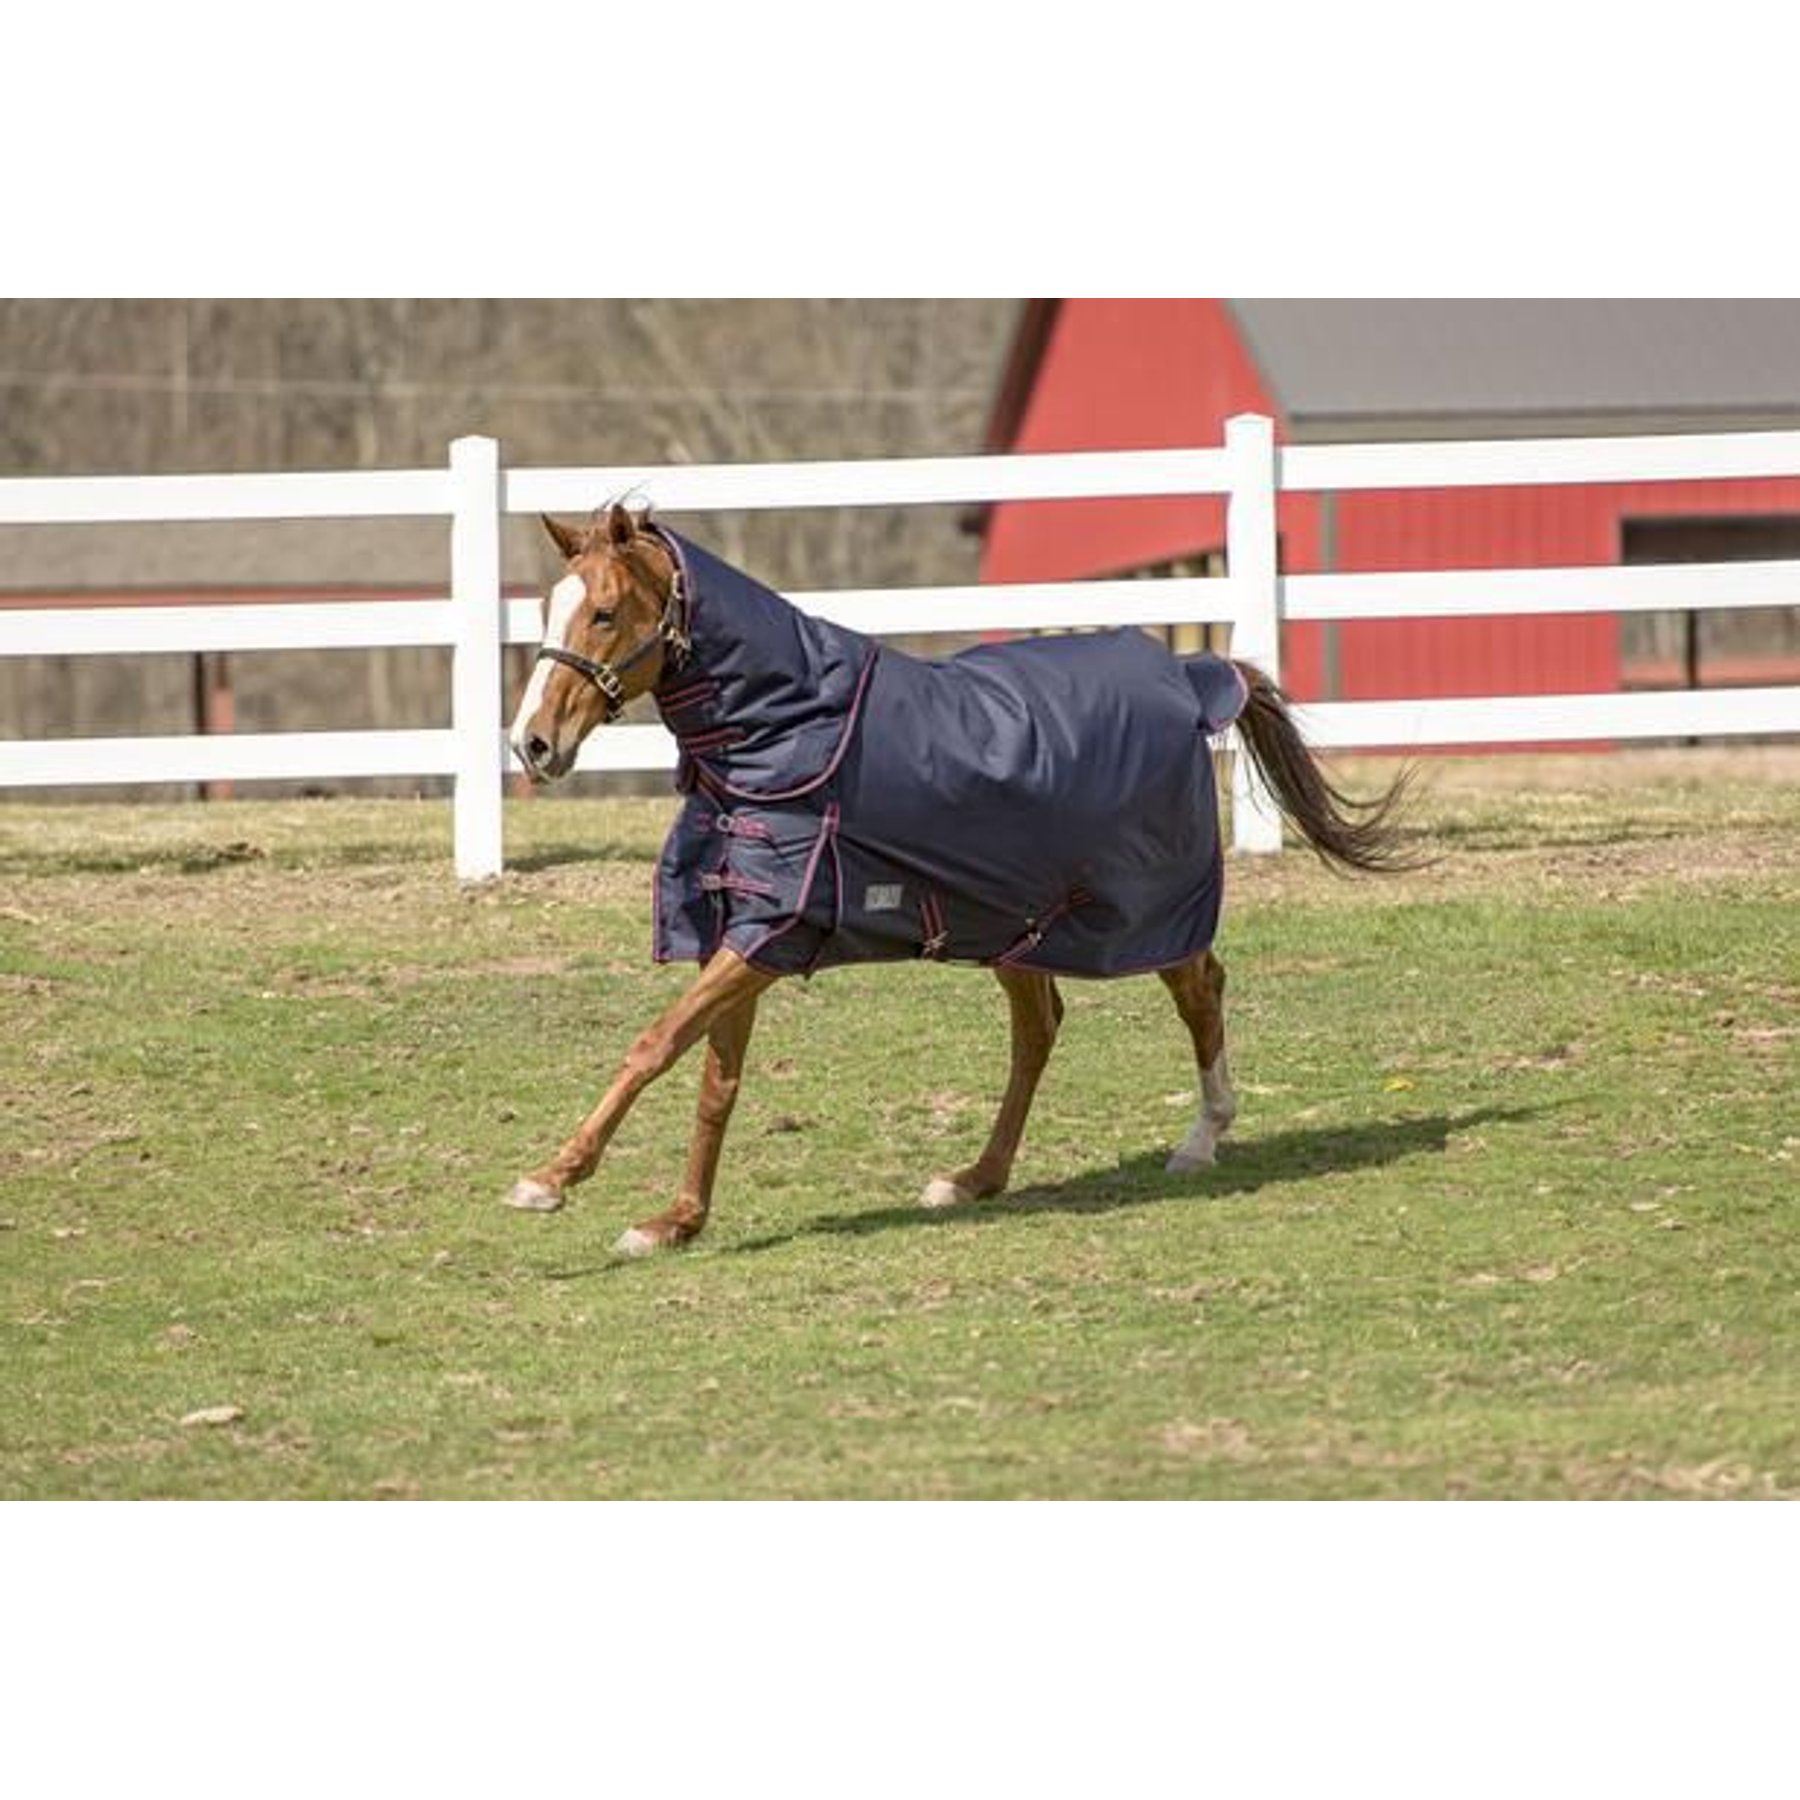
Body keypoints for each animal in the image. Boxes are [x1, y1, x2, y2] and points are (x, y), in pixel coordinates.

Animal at [504, 504, 1415, 1256]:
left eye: (605, 612)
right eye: (549, 608)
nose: (532, 744)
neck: (790, 731)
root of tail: (1189, 679)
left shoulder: (768, 936)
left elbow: (656, 1045)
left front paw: (549, 1179)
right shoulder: (744, 930)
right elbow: (714, 1077)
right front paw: (676, 1222)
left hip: (1145, 907)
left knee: (1200, 989)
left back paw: (1201, 1139)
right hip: (1017, 923)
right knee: (1039, 1029)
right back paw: (977, 1178)